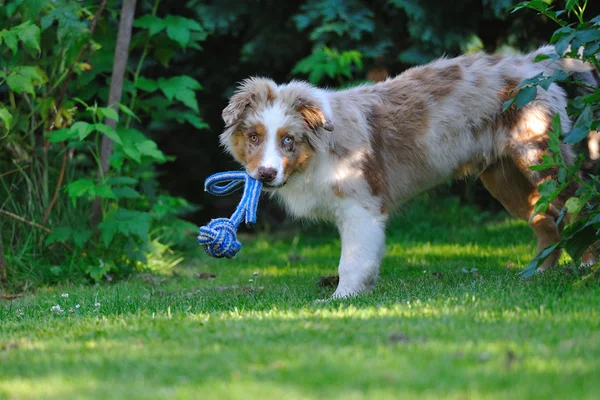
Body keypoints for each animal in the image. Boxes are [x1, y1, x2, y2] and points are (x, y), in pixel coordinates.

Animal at [218, 45, 596, 298]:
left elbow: (352, 260)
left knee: (580, 206)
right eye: (254, 137)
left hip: (540, 159)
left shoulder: (361, 207)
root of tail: (532, 61)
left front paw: (341, 299)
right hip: (505, 179)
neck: (316, 152)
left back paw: (587, 266)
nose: (265, 175)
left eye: (289, 140)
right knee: (547, 224)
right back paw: (536, 275)